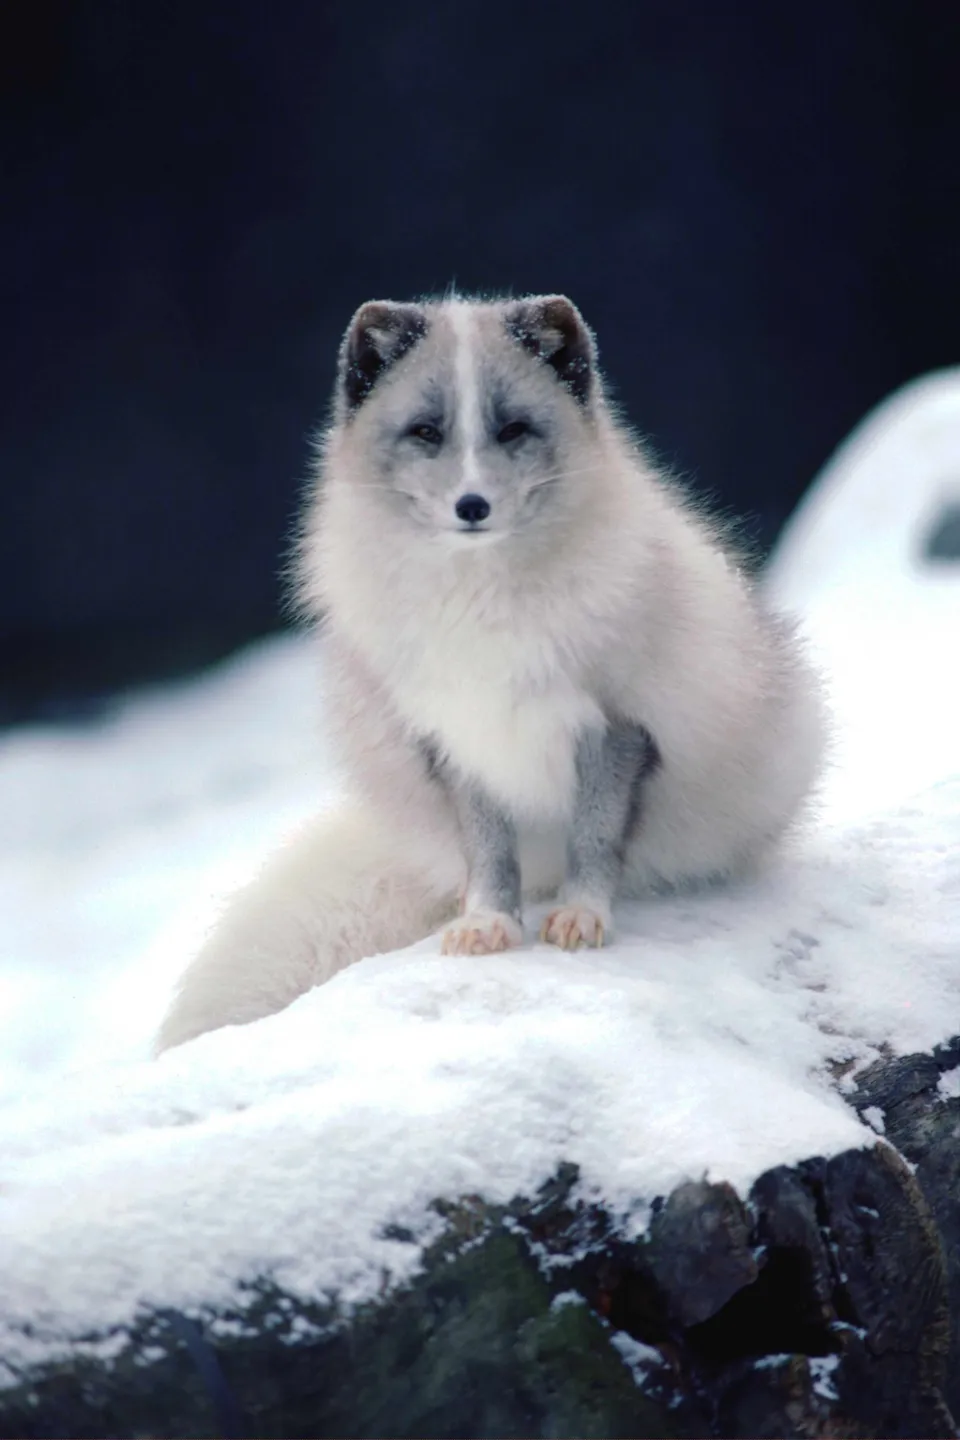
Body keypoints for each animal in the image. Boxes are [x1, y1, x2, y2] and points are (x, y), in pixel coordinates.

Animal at [156, 293, 826, 1052]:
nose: (471, 506)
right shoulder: (456, 735)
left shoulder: (619, 726)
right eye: (426, 431)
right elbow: (488, 851)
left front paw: (583, 916)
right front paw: (487, 924)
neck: (482, 604)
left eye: (513, 430)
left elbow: (594, 837)